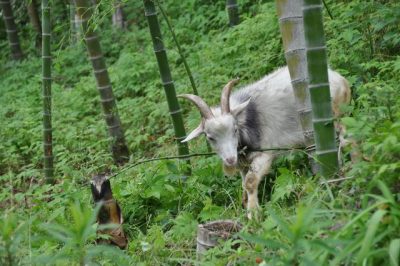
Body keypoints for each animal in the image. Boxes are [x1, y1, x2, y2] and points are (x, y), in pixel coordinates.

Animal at [178, 65, 350, 217]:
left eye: (235, 129)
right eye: (210, 137)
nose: (230, 160)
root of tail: (340, 79)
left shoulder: (265, 154)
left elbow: (250, 181)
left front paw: (253, 214)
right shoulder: (243, 163)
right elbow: (243, 182)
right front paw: (246, 203)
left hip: (336, 115)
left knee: (345, 138)